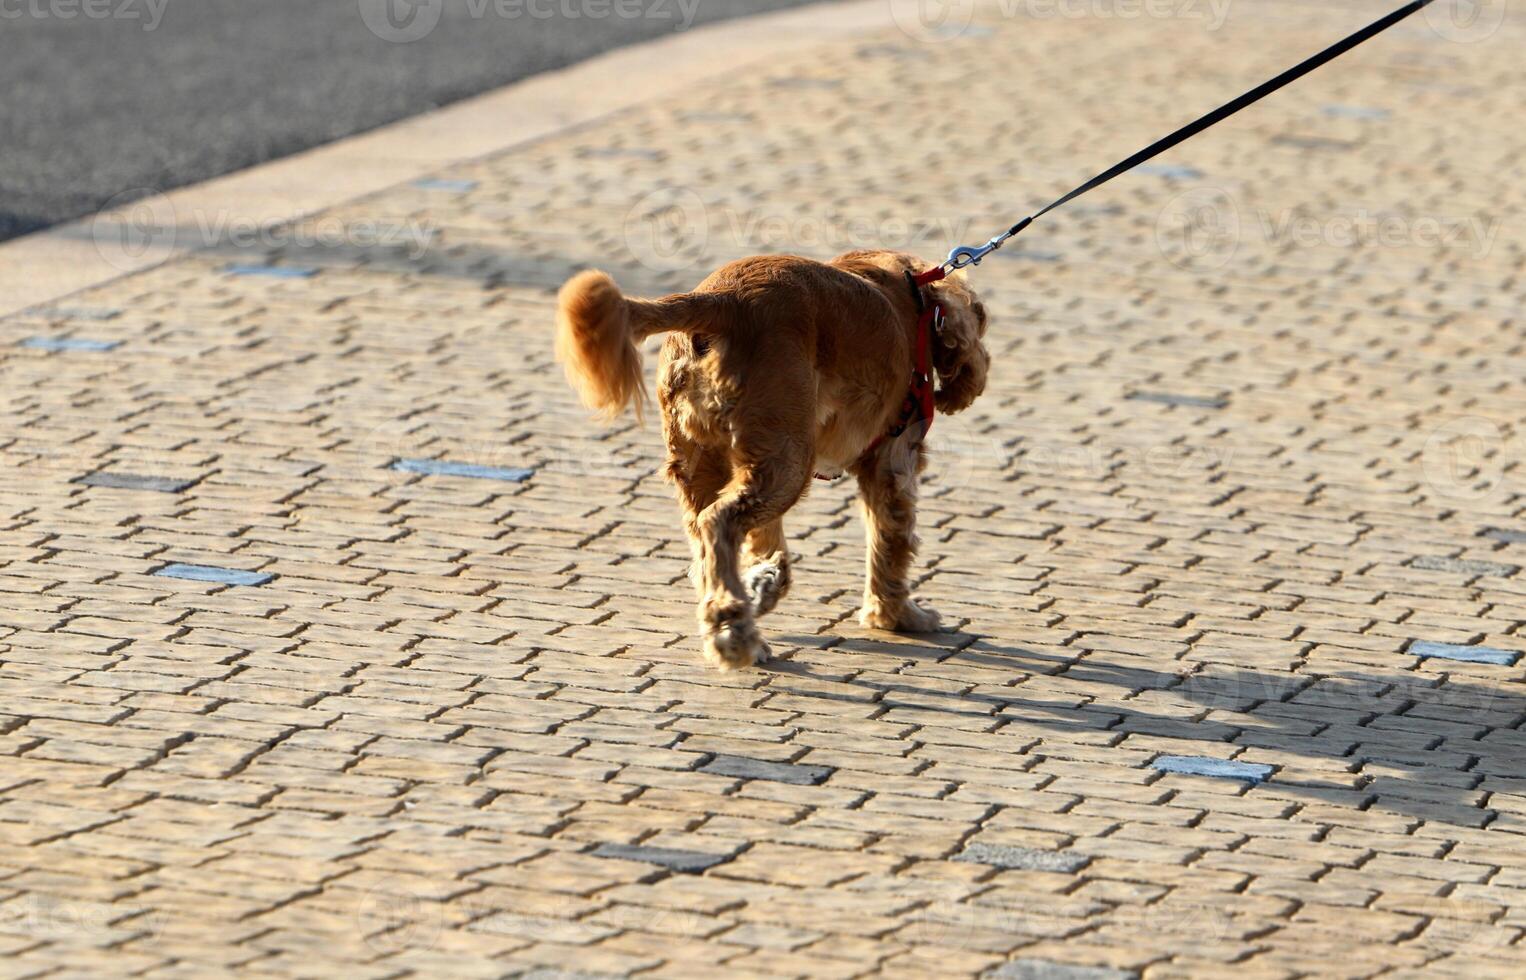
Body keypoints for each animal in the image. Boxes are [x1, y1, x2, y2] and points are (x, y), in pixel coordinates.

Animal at [555, 247, 994, 668]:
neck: (911, 294)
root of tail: (722, 301)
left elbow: (768, 543)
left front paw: (764, 583)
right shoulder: (892, 463)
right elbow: (892, 545)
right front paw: (897, 616)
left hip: (713, 461)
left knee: (705, 541)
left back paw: (731, 619)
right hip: (790, 460)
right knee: (718, 522)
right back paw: (735, 632)